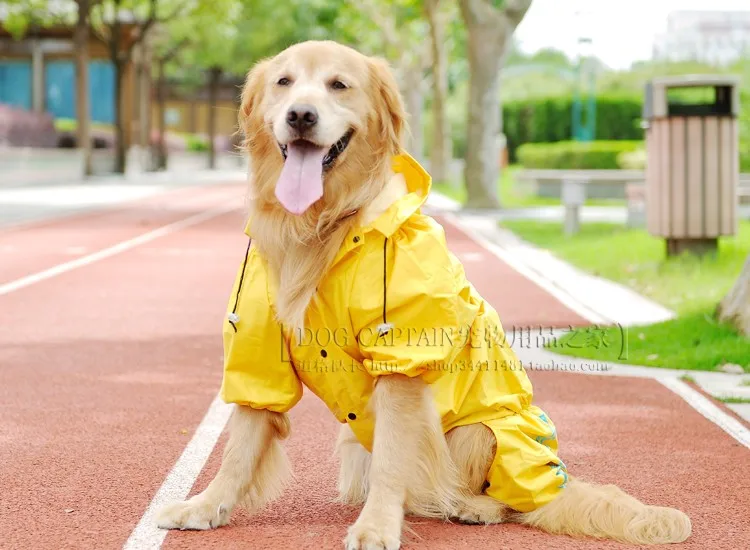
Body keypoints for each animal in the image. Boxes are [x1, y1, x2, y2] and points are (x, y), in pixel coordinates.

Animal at [157, 41, 692, 548]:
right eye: (284, 83)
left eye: (338, 85)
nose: (300, 115)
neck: (326, 228)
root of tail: (554, 481)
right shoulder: (259, 350)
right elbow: (240, 445)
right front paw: (204, 506)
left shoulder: (402, 360)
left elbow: (394, 455)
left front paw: (376, 527)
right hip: (354, 441)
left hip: (483, 431)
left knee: (495, 500)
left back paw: (473, 508)